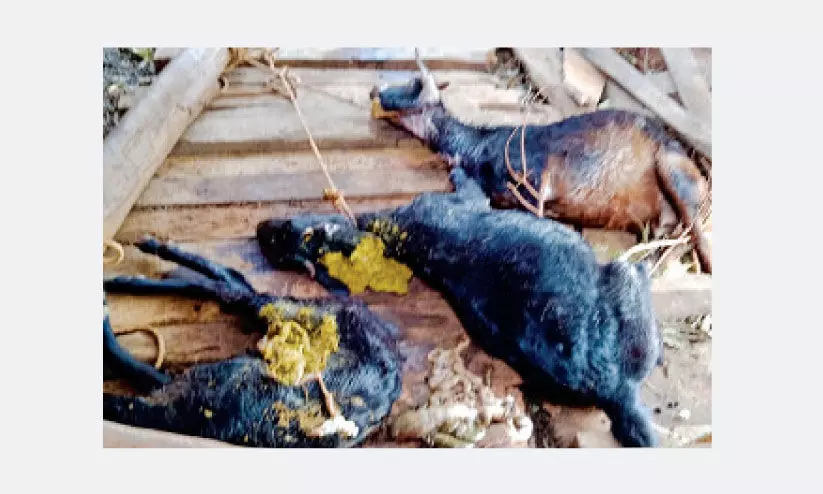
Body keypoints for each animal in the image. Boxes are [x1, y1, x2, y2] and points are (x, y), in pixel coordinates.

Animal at [102, 237, 403, 448]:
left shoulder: (167, 405)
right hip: (279, 309)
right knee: (227, 283)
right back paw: (138, 268)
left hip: (276, 311)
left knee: (223, 285)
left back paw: (128, 278)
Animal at [256, 168, 665, 447]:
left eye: (284, 229)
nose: (260, 230)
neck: (394, 237)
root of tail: (615, 390)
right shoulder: (468, 200)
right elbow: (471, 186)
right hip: (625, 280)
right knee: (639, 276)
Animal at [369, 51, 712, 274]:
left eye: (413, 85)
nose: (375, 90)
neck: (475, 148)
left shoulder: (535, 181)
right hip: (664, 212)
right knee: (672, 233)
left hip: (673, 170)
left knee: (693, 234)